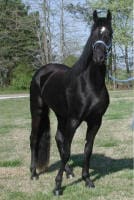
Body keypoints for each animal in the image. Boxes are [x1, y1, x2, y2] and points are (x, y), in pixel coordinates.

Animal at [29, 9, 112, 195]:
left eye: (109, 34)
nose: (99, 57)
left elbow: (87, 150)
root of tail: (42, 72)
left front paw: (87, 179)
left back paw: (68, 172)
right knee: (35, 139)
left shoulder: (95, 121)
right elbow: (67, 151)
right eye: (93, 34)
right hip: (38, 111)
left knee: (59, 138)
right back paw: (34, 173)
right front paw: (57, 186)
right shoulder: (74, 120)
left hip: (61, 115)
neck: (90, 84)